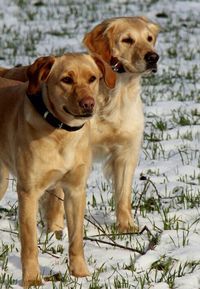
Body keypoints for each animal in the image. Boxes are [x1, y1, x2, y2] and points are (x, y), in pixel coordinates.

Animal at [0, 52, 115, 286]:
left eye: (92, 78)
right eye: (66, 80)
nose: (88, 103)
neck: (61, 132)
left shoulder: (75, 191)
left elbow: (76, 238)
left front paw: (80, 274)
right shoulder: (28, 193)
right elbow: (29, 244)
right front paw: (32, 279)